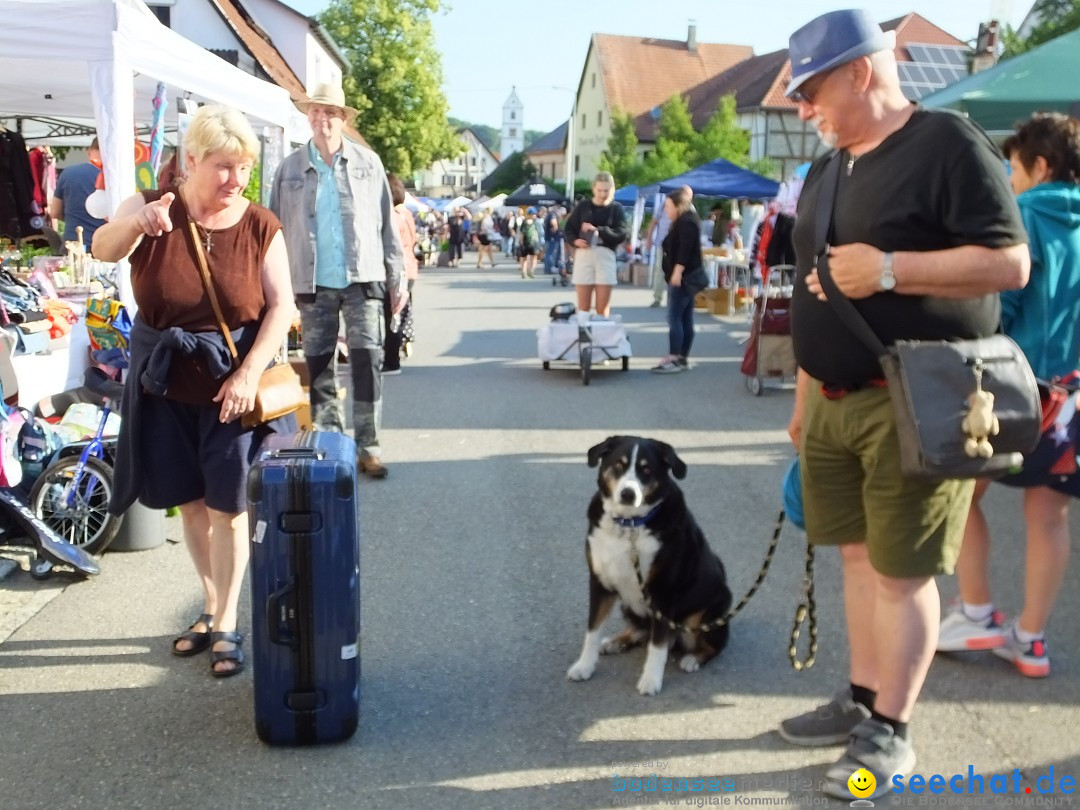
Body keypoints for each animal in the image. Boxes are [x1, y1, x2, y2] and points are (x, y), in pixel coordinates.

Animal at [565, 438, 734, 699]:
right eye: (619, 465)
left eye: (646, 470)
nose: (628, 493)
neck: (630, 525)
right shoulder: (600, 581)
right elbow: (592, 631)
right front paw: (584, 666)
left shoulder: (663, 592)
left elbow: (658, 645)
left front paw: (651, 680)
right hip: (627, 603)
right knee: (641, 629)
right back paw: (616, 641)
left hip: (708, 611)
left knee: (713, 644)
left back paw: (693, 659)